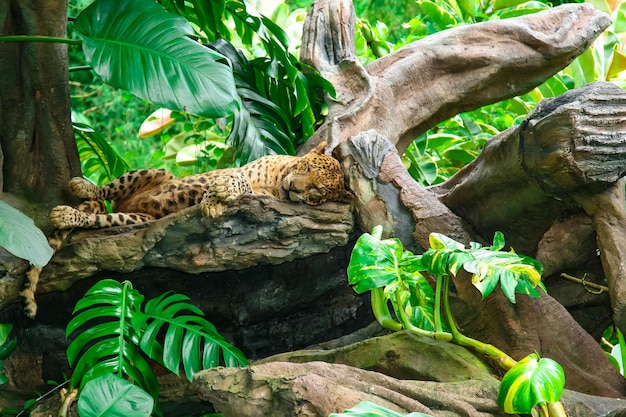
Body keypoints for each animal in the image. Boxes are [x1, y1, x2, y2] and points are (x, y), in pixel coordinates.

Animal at [50, 141, 348, 229]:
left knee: (96, 220)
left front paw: (215, 199)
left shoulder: (260, 195)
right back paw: (82, 186)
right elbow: (236, 177)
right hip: (153, 171)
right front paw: (214, 196)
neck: (278, 180)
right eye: (305, 168)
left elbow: (237, 187)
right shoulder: (242, 169)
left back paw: (66, 216)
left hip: (136, 218)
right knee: (107, 190)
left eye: (316, 192)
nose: (294, 187)